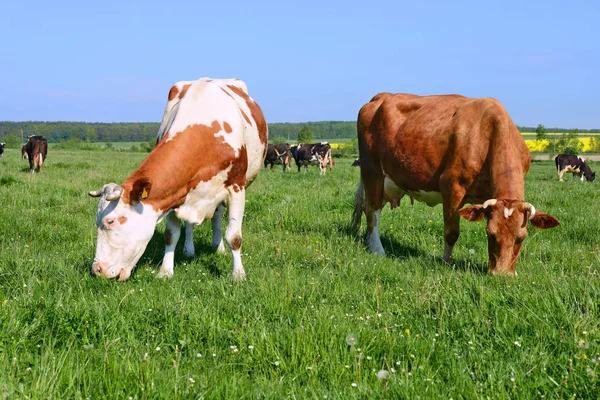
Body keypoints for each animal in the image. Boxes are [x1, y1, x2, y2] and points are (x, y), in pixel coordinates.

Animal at [89, 77, 268, 282]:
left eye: (110, 221)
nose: (97, 270)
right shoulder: (174, 194)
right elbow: (171, 235)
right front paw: (165, 272)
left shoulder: (236, 188)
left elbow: (234, 237)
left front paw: (238, 275)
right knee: (192, 223)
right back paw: (189, 249)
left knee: (217, 217)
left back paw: (218, 247)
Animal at [350, 92, 560, 276]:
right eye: (490, 234)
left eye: (521, 238)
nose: (501, 275)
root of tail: (381, 96)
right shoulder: (452, 187)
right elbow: (451, 233)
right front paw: (446, 262)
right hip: (372, 171)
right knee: (372, 211)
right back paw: (377, 249)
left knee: (366, 207)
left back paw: (367, 241)